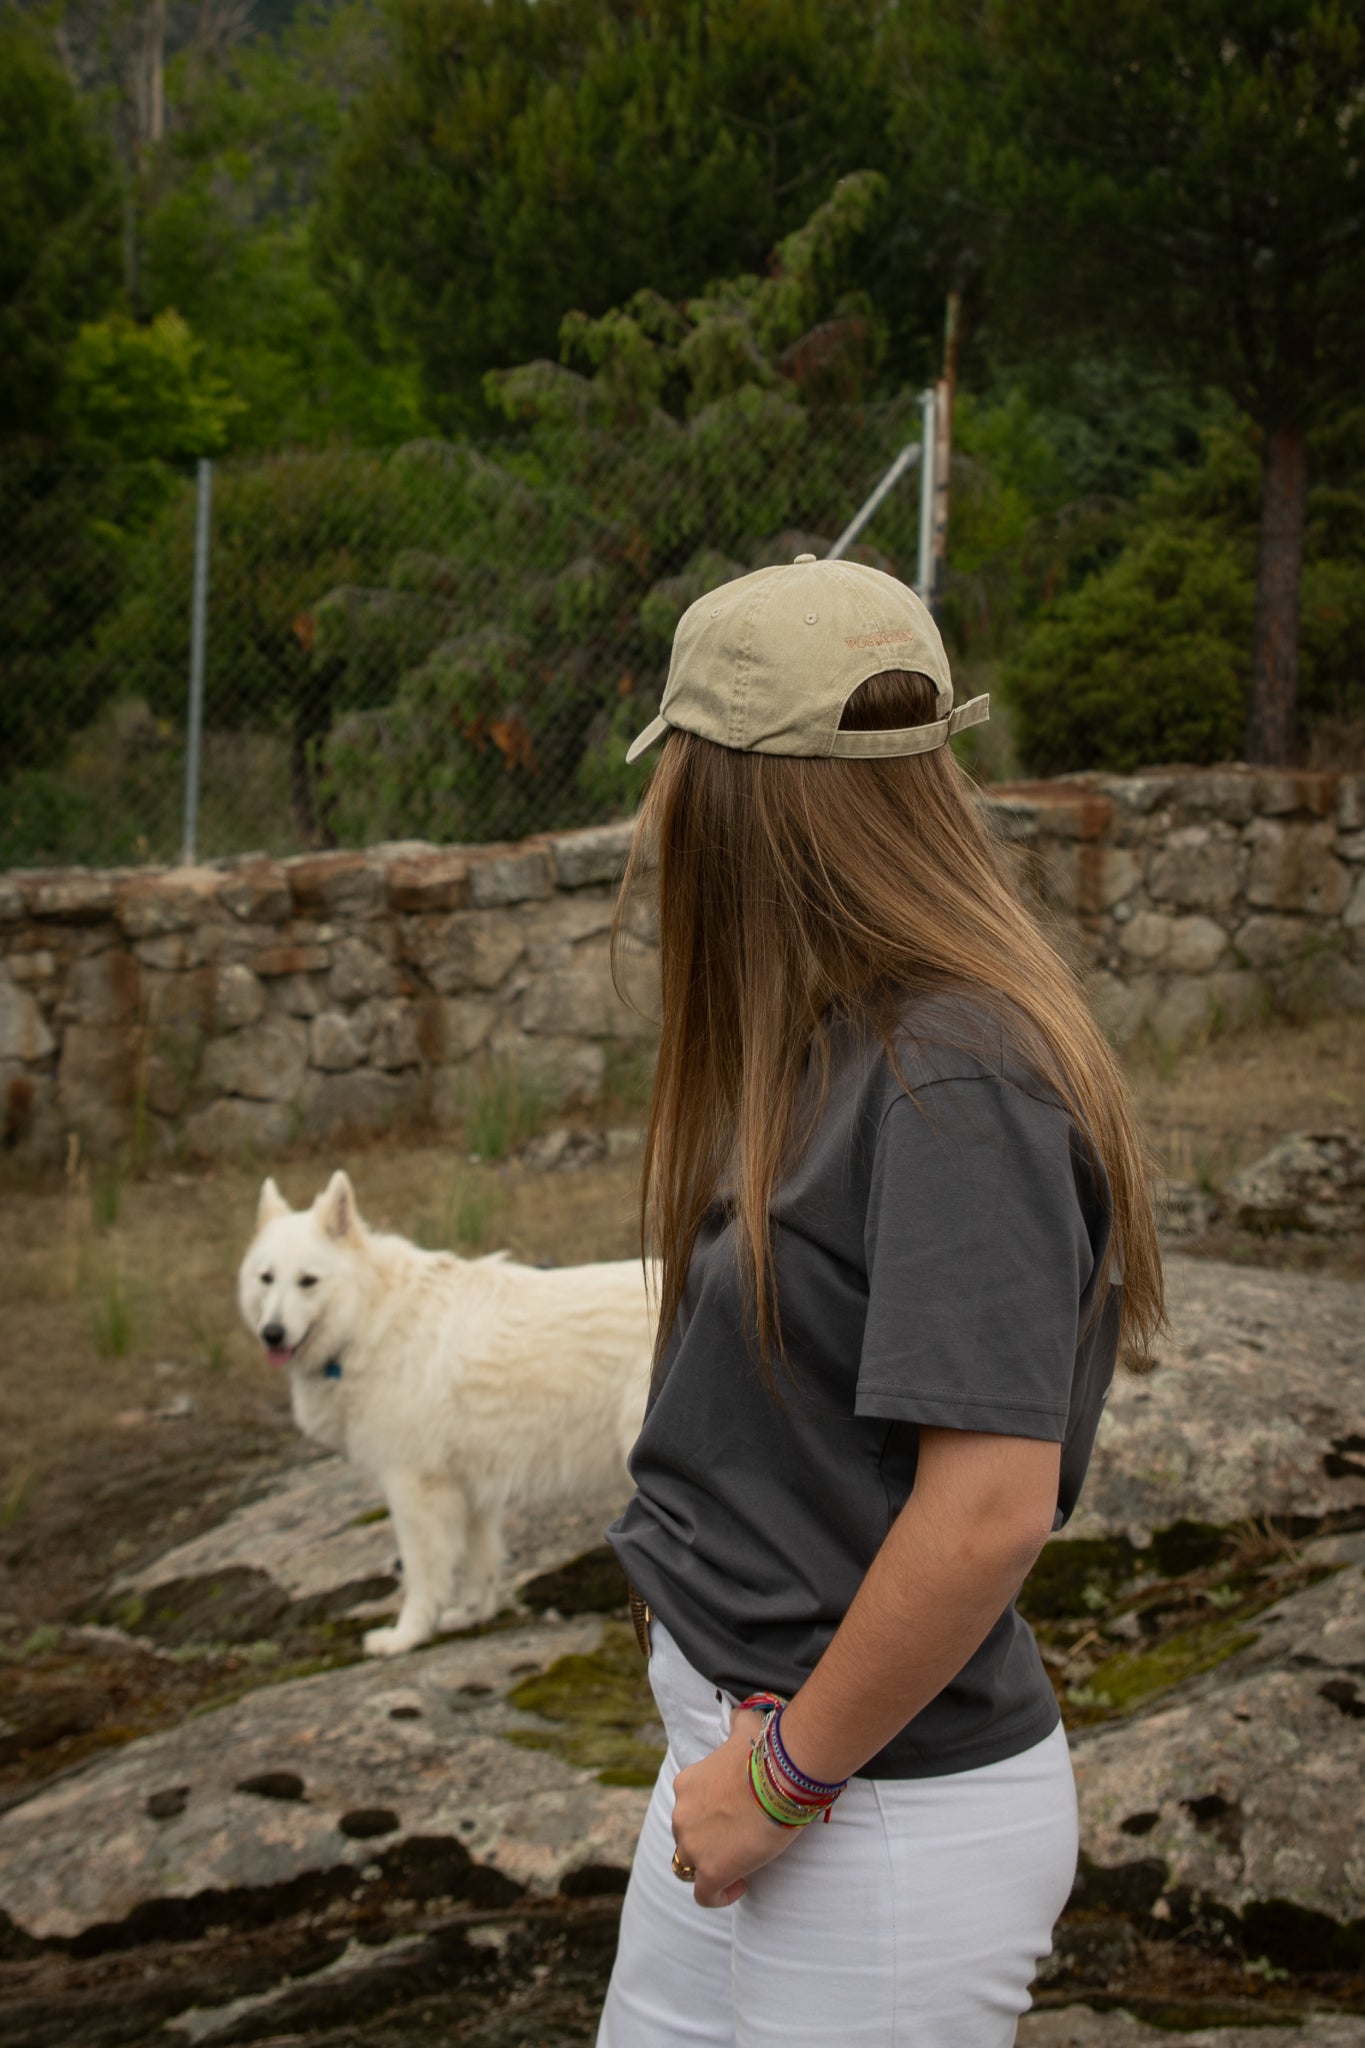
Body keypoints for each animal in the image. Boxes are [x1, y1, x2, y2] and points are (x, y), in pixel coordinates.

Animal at [240, 1179, 654, 1654]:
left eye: (307, 1281)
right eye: (266, 1278)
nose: (271, 1333)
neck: (369, 1319)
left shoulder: (413, 1487)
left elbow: (423, 1574)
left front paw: (407, 1636)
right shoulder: (470, 1487)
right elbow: (479, 1561)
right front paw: (471, 1615)